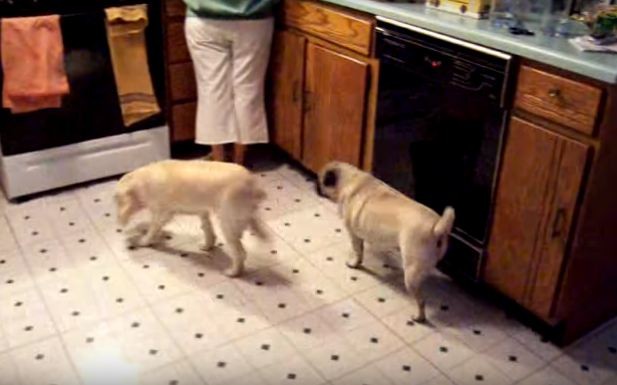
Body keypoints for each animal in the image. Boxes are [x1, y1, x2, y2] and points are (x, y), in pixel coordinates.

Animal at [115, 159, 268, 276]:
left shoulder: (163, 213)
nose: (118, 221)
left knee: (240, 253)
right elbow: (207, 230)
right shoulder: (203, 211)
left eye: (117, 200)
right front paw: (207, 246)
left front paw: (144, 241)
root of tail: (253, 184)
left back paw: (233, 272)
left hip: (227, 224)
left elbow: (152, 229)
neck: (142, 180)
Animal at [318, 160, 452, 320]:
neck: (350, 179)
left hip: (411, 273)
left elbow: (357, 251)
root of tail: (436, 227)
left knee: (421, 300)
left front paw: (354, 264)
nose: (315, 186)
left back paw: (418, 317)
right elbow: (361, 250)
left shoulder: (354, 234)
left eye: (320, 180)